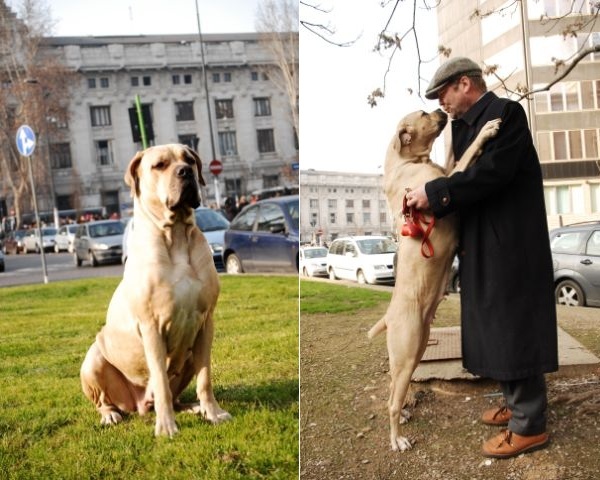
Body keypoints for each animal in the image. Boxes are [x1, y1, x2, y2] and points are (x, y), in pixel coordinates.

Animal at [79, 144, 230, 436]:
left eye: (189, 160)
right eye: (159, 165)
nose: (185, 172)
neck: (177, 234)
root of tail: (138, 405)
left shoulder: (206, 322)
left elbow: (205, 376)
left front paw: (213, 412)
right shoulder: (151, 328)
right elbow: (159, 379)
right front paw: (166, 427)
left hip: (188, 355)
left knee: (176, 394)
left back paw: (192, 407)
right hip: (93, 360)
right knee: (106, 399)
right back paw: (111, 414)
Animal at [368, 110, 500, 452]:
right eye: (424, 114)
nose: (442, 111)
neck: (405, 162)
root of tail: (389, 318)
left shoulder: (445, 172)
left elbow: (455, 154)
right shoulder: (444, 185)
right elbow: (466, 156)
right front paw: (486, 129)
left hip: (414, 354)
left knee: (393, 393)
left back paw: (403, 416)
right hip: (406, 355)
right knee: (391, 402)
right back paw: (397, 439)